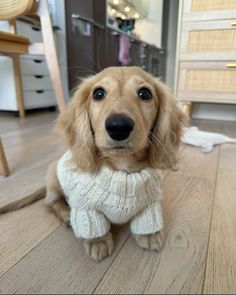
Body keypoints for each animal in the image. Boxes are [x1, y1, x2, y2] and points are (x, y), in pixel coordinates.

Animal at [44, 67, 184, 264]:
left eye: (145, 93)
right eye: (98, 93)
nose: (118, 127)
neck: (122, 172)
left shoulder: (149, 203)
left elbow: (147, 220)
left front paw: (149, 235)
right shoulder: (86, 208)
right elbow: (94, 226)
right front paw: (98, 241)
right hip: (53, 177)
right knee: (51, 202)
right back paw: (66, 215)